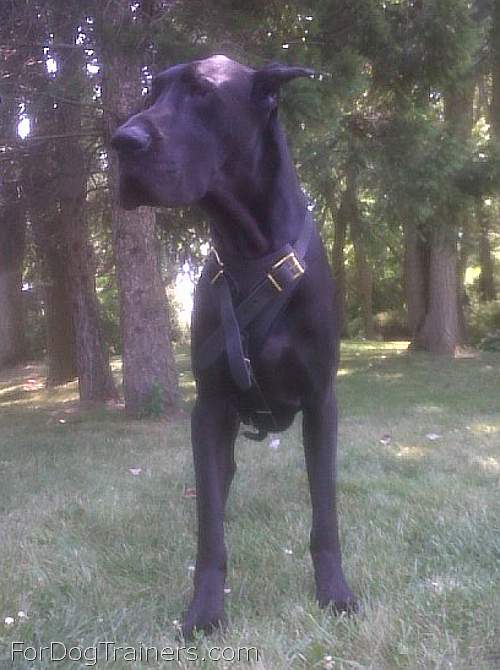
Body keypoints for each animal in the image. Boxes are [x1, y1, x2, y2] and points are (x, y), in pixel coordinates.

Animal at [112, 55, 358, 636]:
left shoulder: (321, 402)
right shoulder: (210, 408)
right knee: (217, 487)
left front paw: (334, 592)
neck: (253, 253)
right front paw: (204, 608)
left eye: (203, 91)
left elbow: (325, 512)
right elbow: (209, 529)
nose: (121, 141)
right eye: (152, 92)